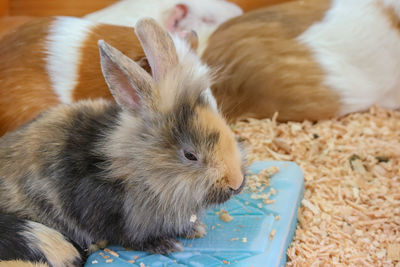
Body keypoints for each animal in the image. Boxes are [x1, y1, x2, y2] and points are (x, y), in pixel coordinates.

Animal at [0, 17, 245, 266]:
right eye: (190, 155)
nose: (237, 183)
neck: (140, 168)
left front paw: (196, 229)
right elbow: (133, 238)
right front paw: (167, 245)